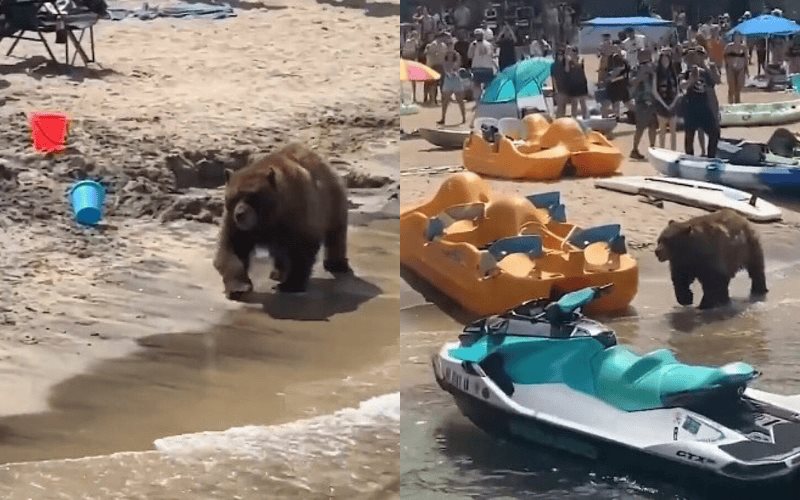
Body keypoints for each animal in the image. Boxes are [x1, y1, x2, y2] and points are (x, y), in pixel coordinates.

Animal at [212, 142, 350, 296]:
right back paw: (277, 272)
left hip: (332, 202)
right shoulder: (236, 225)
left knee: (336, 233)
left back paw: (336, 264)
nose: (240, 214)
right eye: (233, 197)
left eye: (252, 196)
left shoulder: (297, 213)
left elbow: (302, 248)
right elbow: (232, 247)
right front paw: (238, 287)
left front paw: (290, 285)